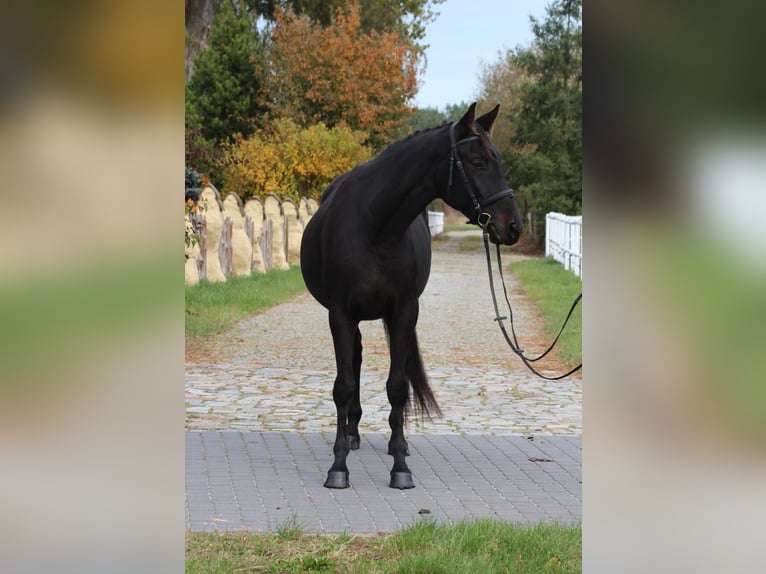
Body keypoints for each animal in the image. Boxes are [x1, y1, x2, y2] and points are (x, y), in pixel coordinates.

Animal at [298, 103, 520, 490]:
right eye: (478, 161)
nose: (513, 227)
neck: (375, 225)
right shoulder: (340, 314)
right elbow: (343, 386)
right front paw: (338, 467)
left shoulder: (403, 312)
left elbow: (398, 387)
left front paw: (400, 466)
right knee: (355, 361)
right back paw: (352, 434)